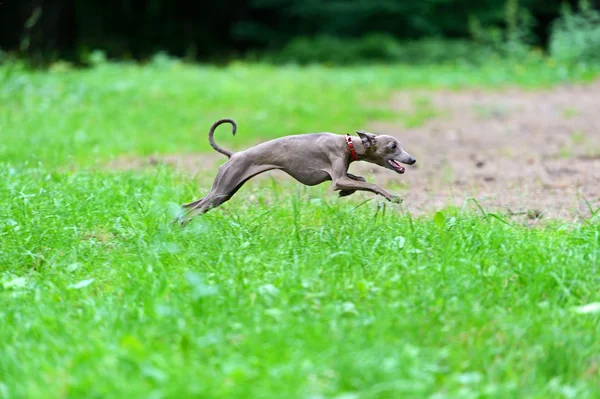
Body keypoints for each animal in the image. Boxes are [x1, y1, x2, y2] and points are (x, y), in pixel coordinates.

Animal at [176, 119, 414, 225]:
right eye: (393, 146)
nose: (412, 159)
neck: (348, 144)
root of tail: (234, 155)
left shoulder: (341, 175)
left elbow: (361, 178)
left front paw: (346, 193)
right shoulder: (337, 177)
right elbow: (370, 183)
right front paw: (393, 197)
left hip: (224, 190)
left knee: (187, 207)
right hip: (222, 190)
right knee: (191, 212)